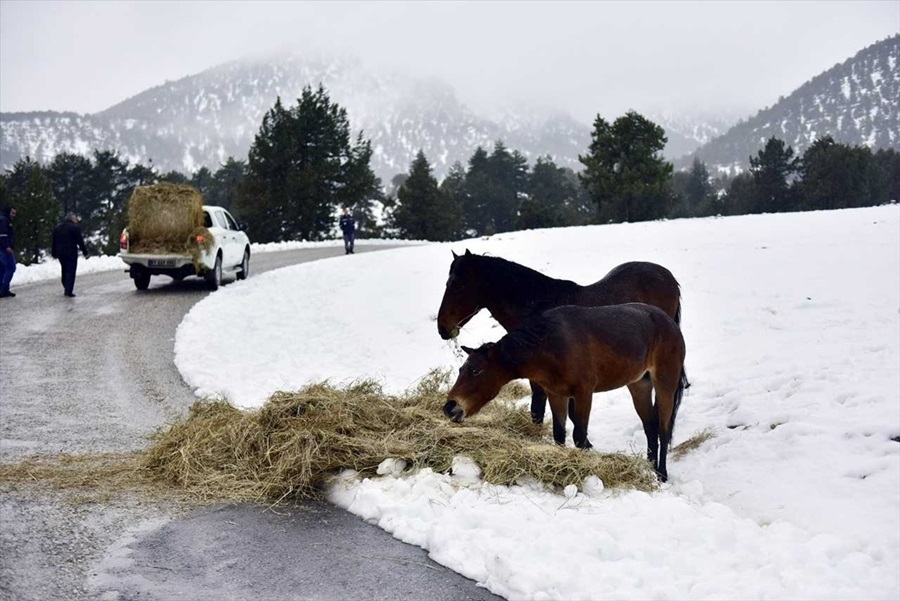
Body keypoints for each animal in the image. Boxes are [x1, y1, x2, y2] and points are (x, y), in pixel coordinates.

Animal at [444, 302, 688, 480]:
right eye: (461, 369)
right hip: (639, 385)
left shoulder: (583, 393)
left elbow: (579, 436)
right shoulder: (556, 394)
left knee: (663, 428)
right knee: (650, 427)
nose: (449, 407)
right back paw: (650, 468)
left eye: (476, 371)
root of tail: (671, 324)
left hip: (665, 382)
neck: (551, 347)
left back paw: (661, 474)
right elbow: (559, 434)